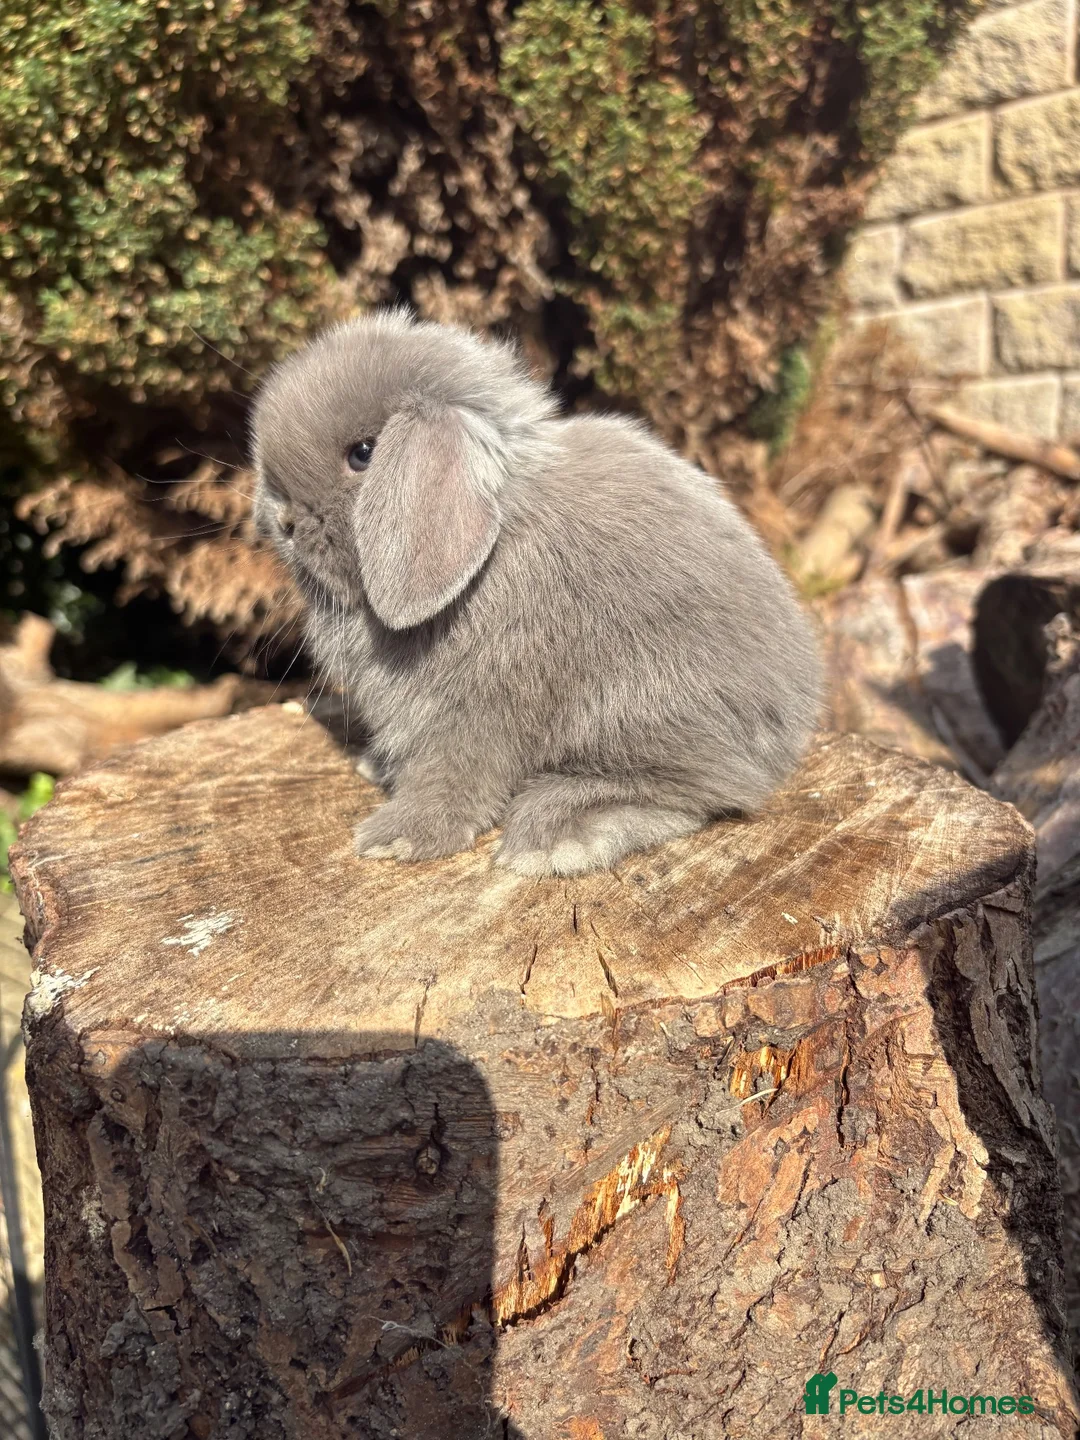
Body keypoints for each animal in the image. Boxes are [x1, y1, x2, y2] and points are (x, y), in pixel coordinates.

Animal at [250, 309, 822, 877]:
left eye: (364, 454)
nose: (282, 523)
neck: (490, 552)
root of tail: (795, 718)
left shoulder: (473, 716)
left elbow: (451, 779)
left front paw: (397, 839)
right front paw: (378, 771)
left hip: (644, 709)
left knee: (705, 791)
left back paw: (555, 838)